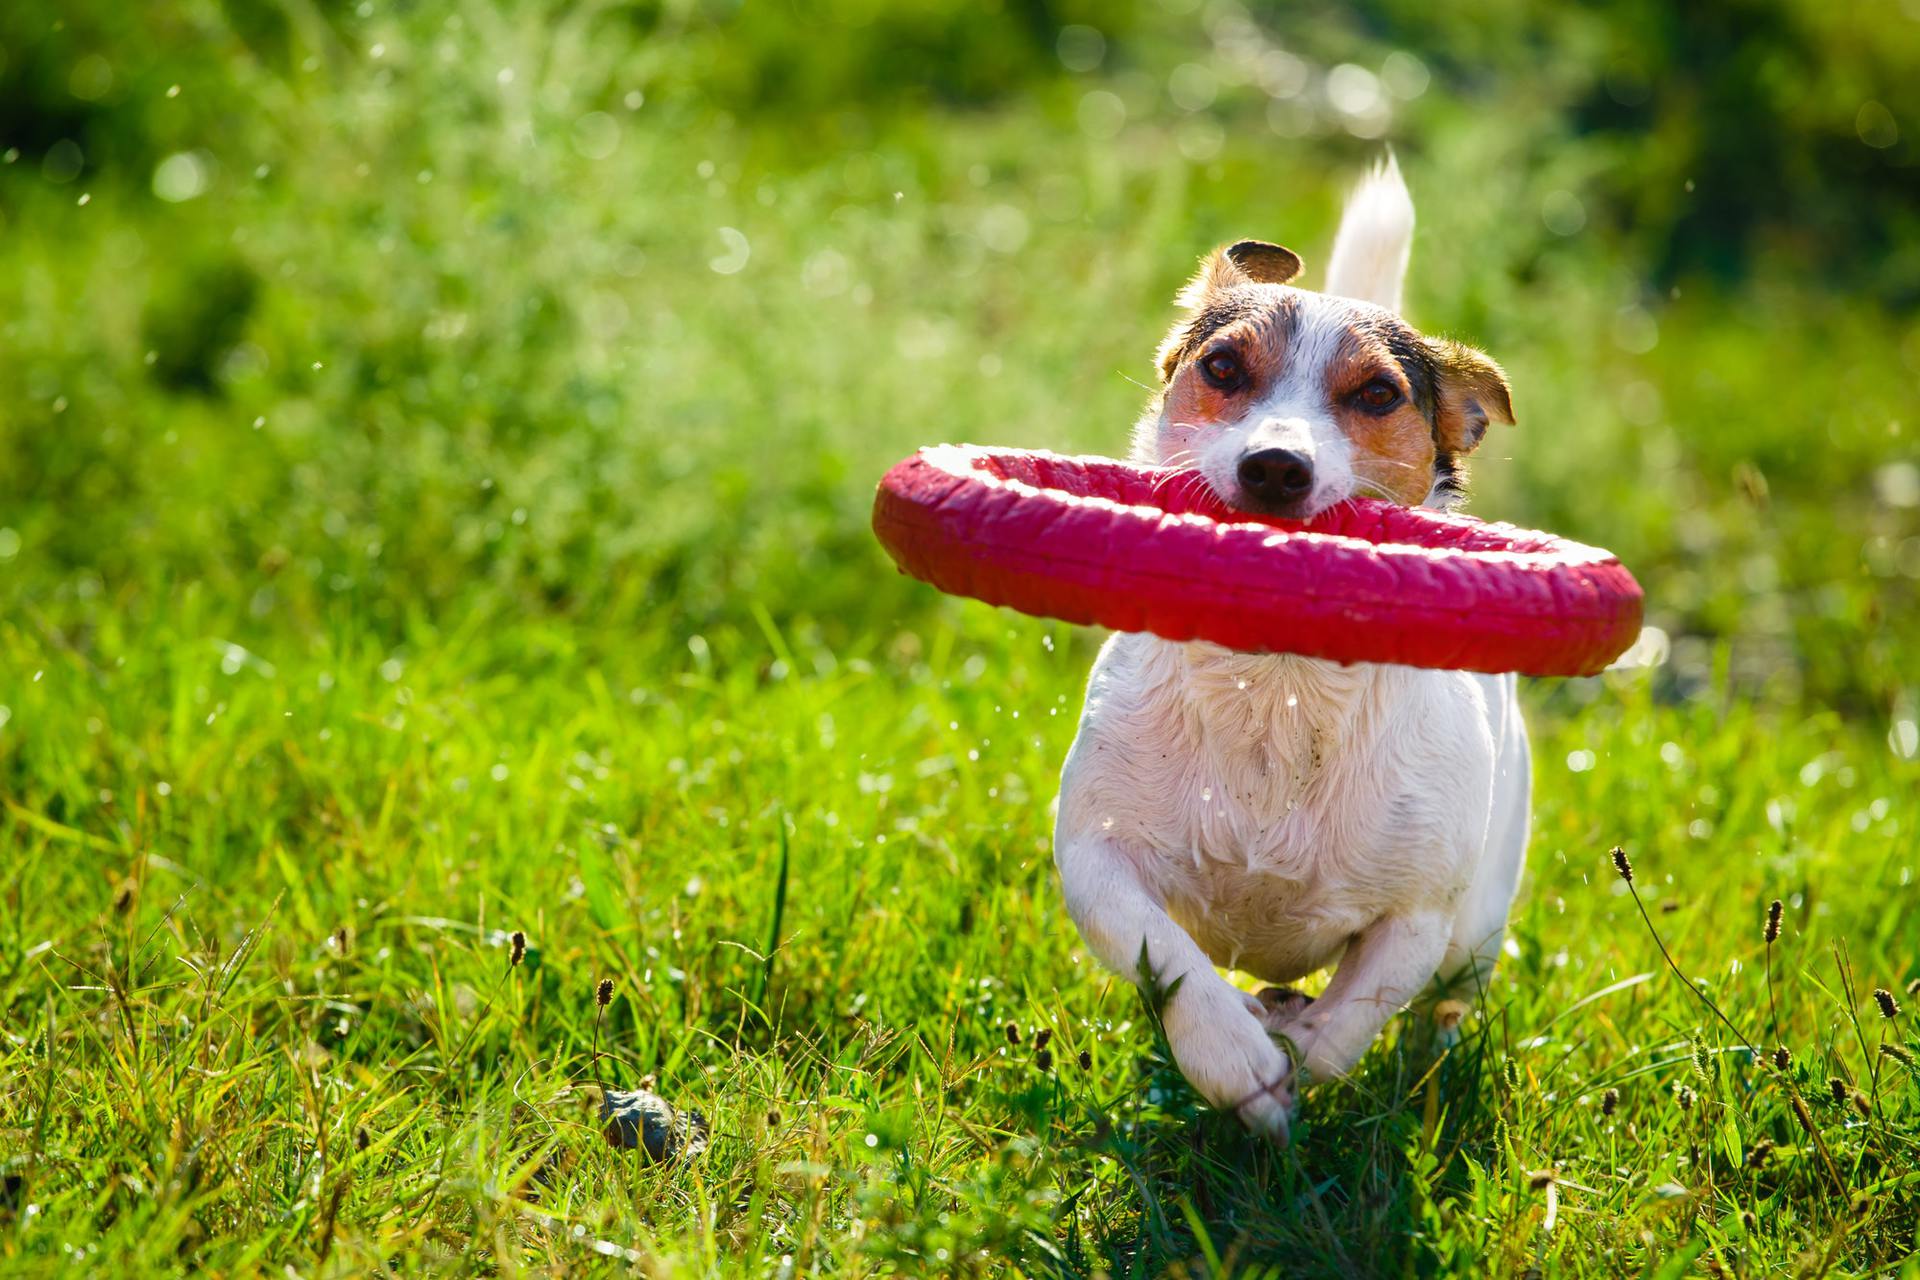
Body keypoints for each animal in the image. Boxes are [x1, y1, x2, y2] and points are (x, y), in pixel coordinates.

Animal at [1052, 157, 1528, 1143]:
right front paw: (1234, 1059)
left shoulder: (1418, 916)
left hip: (1478, 928)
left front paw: (1301, 1059)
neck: (1276, 686)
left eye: (1379, 394)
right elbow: (1167, 956)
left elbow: (1358, 1012)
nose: (1275, 466)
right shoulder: (1094, 858)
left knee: (1443, 1006)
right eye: (1222, 367)